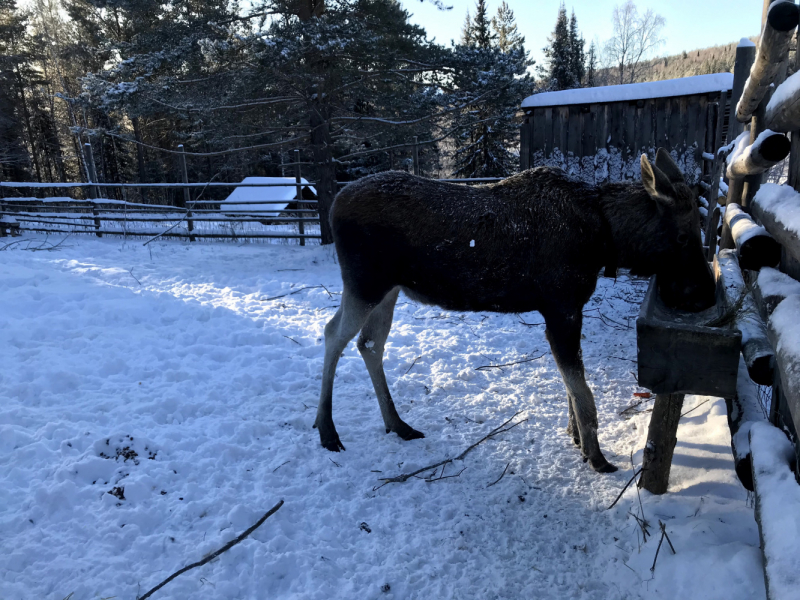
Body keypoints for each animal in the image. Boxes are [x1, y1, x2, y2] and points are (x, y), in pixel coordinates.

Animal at [312, 150, 712, 474]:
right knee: (333, 334)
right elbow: (583, 392)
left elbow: (572, 387)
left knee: (369, 344)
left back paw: (397, 424)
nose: (705, 295)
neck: (605, 240)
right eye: (682, 236)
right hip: (364, 283)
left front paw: (577, 440)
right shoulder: (562, 308)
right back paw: (327, 430)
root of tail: (333, 205)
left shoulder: (563, 311)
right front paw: (596, 455)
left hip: (389, 289)